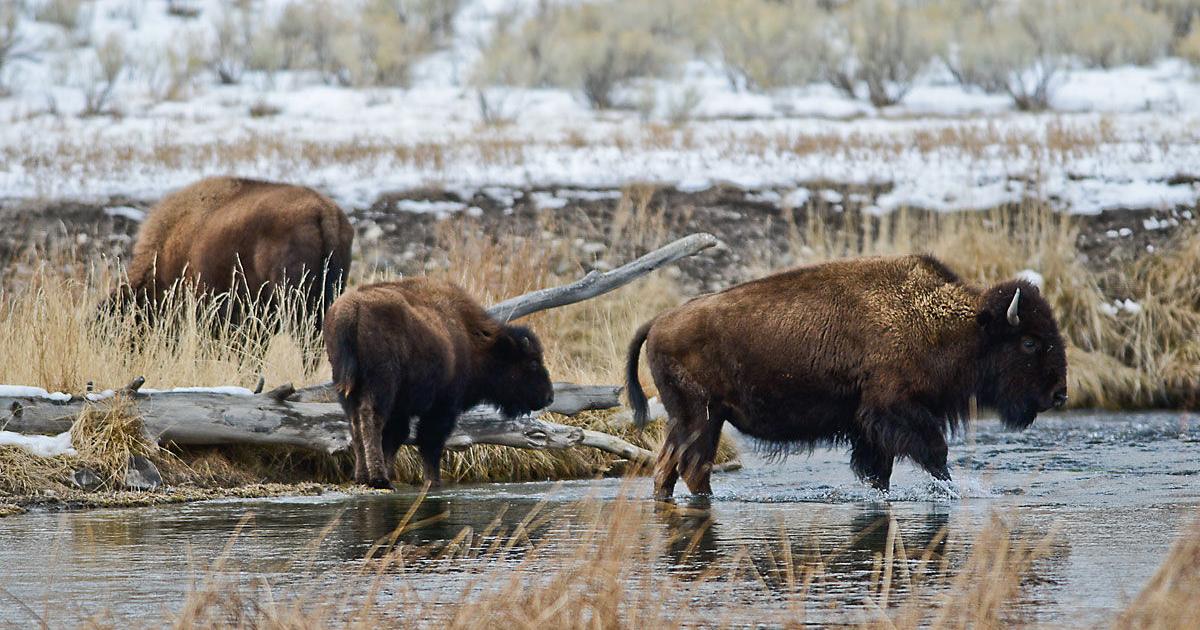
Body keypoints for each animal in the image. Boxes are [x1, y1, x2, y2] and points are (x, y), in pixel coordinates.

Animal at [324, 278, 555, 489]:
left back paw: (363, 476)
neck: (471, 338)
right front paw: (433, 480)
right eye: (533, 363)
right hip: (381, 386)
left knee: (355, 424)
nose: (549, 396)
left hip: (347, 388)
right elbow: (429, 442)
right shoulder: (443, 406)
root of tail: (352, 309)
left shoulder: (403, 409)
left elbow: (396, 437)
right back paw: (379, 479)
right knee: (370, 420)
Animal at [626, 254, 1068, 499]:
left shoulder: (870, 429)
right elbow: (936, 454)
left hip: (697, 419)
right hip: (700, 417)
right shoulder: (895, 410)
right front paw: (947, 490)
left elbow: (880, 473)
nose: (1059, 394)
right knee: (693, 467)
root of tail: (658, 321)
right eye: (1029, 342)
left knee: (668, 467)